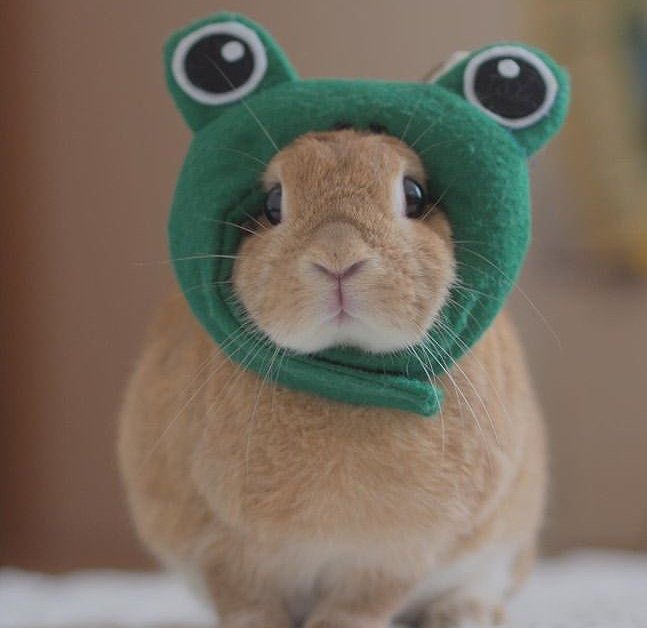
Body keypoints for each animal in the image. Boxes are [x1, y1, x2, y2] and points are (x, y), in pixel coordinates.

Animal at [118, 128, 546, 628]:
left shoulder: (395, 556)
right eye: (272, 203)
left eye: (415, 195)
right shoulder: (221, 548)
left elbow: (358, 605)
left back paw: (461, 614)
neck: (343, 371)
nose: (338, 256)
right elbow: (247, 604)